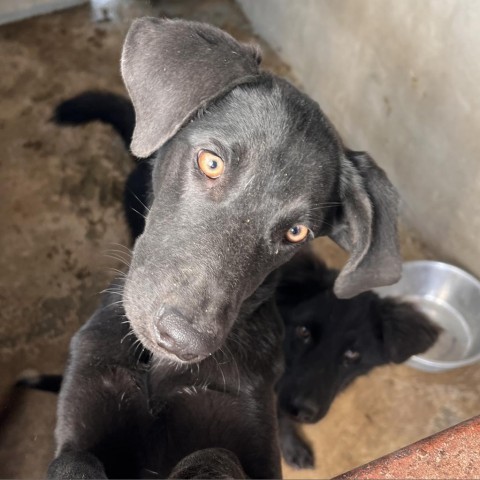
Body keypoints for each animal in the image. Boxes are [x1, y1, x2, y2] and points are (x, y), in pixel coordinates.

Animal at [47, 17, 402, 476]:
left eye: (297, 232)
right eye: (211, 162)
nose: (184, 342)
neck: (158, 368)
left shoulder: (251, 432)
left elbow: (215, 453)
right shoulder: (86, 402)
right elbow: (74, 460)